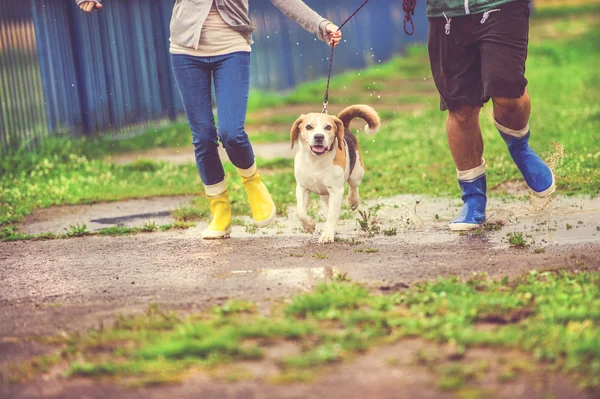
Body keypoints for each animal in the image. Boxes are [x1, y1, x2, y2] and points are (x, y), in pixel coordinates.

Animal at [290, 105, 380, 244]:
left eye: (328, 127)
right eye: (308, 127)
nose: (319, 137)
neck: (315, 160)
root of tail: (345, 127)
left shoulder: (336, 191)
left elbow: (332, 216)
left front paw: (327, 235)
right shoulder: (302, 188)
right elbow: (300, 212)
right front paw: (309, 225)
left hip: (356, 173)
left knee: (354, 187)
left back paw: (353, 201)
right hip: (324, 194)